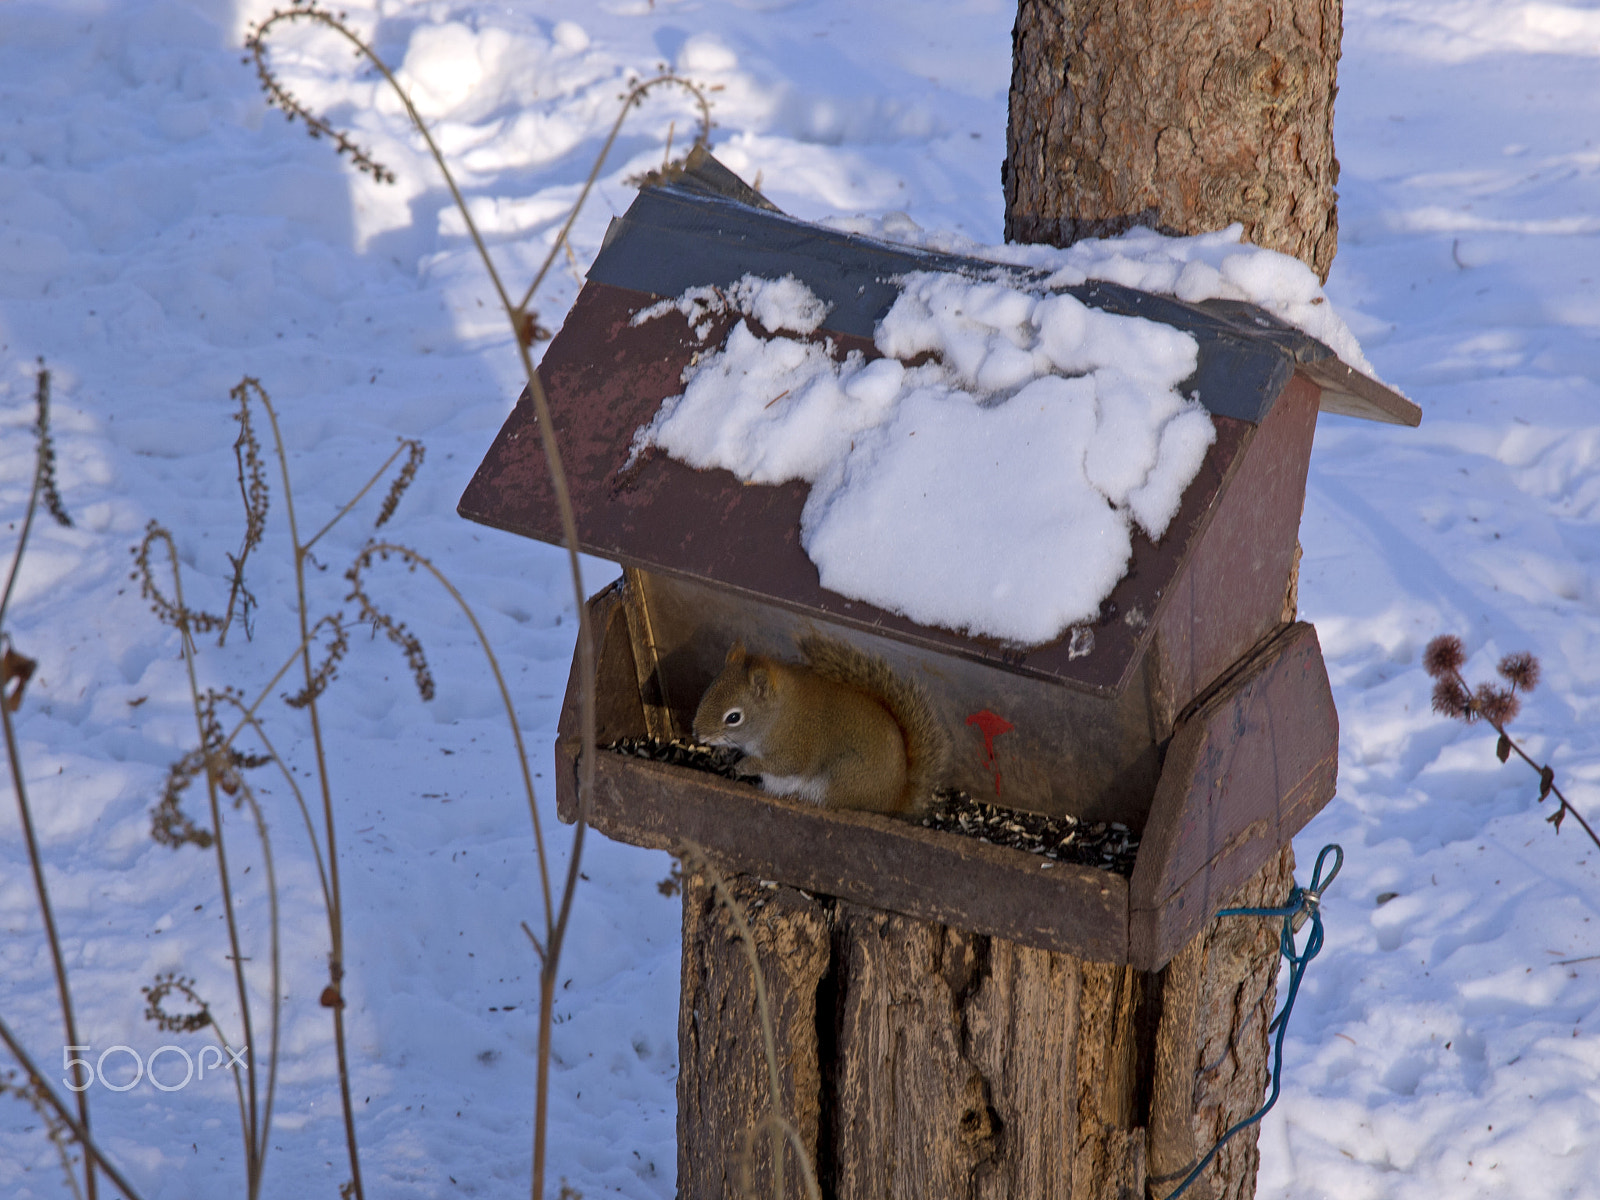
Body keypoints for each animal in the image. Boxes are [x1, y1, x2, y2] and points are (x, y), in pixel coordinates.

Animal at [691, 630, 940, 819]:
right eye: (708, 690)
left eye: (733, 717)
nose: (698, 734)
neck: (776, 717)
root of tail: (896, 799)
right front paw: (723, 752)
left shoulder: (796, 745)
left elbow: (784, 765)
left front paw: (745, 765)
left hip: (842, 780)